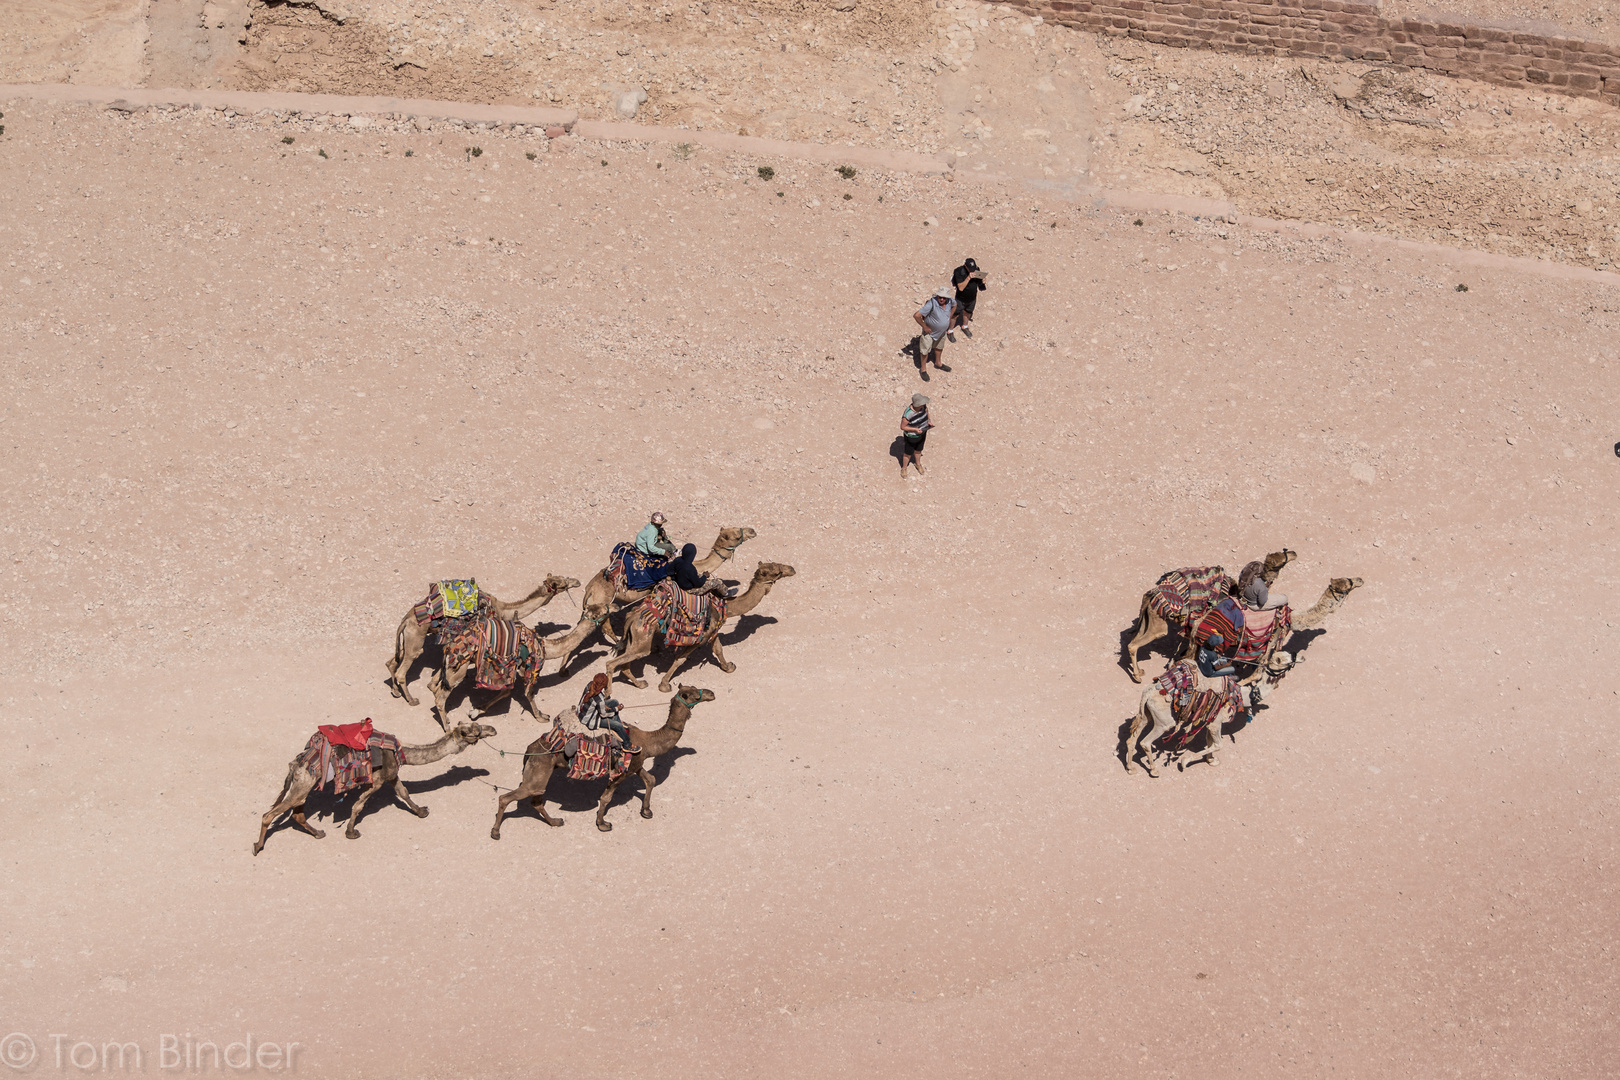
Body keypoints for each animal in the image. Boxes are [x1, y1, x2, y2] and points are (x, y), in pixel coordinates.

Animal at [251, 722, 492, 854]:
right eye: (473, 731)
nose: (492, 728)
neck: (400, 750)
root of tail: (296, 764)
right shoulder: (376, 780)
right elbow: (358, 805)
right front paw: (351, 832)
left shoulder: (391, 774)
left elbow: (404, 792)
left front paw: (421, 811)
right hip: (304, 783)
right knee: (269, 814)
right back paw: (257, 846)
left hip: (304, 786)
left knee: (297, 813)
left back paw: (318, 833)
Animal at [385, 573, 583, 709]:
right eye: (564, 583)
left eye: (564, 578)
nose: (578, 581)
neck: (504, 610)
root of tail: (406, 620)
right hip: (416, 638)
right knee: (403, 669)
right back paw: (412, 700)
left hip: (408, 638)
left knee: (392, 661)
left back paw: (395, 691)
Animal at [489, 683, 712, 835]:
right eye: (692, 693)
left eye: (695, 687)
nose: (711, 693)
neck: (648, 741)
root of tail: (530, 749)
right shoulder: (620, 773)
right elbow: (606, 798)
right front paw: (603, 824)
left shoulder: (635, 764)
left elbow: (651, 780)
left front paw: (646, 811)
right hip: (538, 773)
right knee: (506, 797)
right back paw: (495, 832)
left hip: (540, 775)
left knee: (536, 800)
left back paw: (556, 822)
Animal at [605, 566, 793, 693]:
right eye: (776, 571)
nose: (791, 569)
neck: (725, 605)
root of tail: (632, 617)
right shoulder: (701, 637)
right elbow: (680, 659)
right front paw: (664, 685)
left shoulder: (713, 631)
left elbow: (718, 649)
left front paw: (728, 667)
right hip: (643, 638)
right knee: (611, 663)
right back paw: (608, 694)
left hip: (636, 639)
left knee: (625, 664)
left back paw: (640, 684)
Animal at [1121, 550, 1296, 683]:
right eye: (1281, 560)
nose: (1293, 553)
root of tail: (1151, 595)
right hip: (1159, 626)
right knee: (1134, 645)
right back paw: (1138, 676)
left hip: (1149, 620)